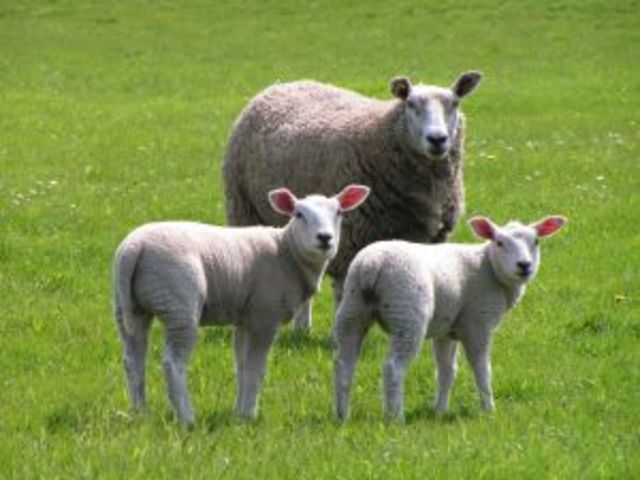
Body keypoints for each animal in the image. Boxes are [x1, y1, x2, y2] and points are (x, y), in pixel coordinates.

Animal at [112, 185, 370, 425]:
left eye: (338, 212)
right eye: (299, 214)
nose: (325, 238)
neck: (287, 252)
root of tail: (134, 247)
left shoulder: (246, 316)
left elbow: (242, 366)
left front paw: (238, 414)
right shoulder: (264, 315)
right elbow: (256, 368)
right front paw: (248, 415)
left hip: (129, 308)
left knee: (133, 360)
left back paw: (140, 414)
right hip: (179, 305)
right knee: (172, 363)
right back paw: (187, 418)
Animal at [222, 72, 483, 332]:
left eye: (455, 103)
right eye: (410, 104)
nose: (437, 139)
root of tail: (284, 84)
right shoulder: (348, 240)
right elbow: (344, 293)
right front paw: (339, 334)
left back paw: (302, 328)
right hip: (244, 209)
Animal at [332, 214, 567, 422]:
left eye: (536, 241)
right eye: (499, 242)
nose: (524, 265)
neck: (489, 269)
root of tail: (372, 265)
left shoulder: (446, 330)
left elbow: (447, 371)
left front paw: (440, 410)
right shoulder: (478, 323)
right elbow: (482, 370)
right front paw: (489, 410)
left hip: (352, 308)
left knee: (344, 364)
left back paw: (342, 415)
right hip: (407, 313)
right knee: (393, 368)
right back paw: (395, 418)